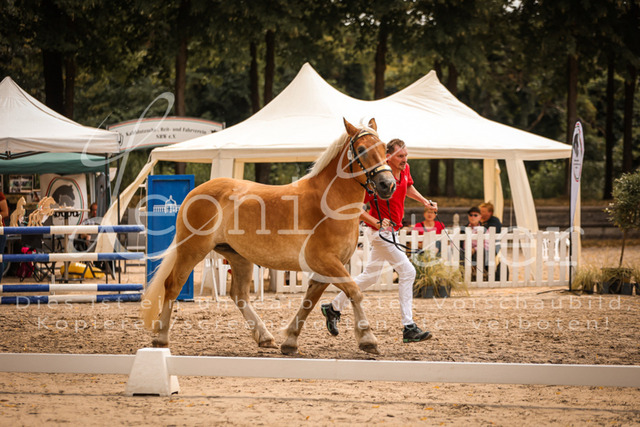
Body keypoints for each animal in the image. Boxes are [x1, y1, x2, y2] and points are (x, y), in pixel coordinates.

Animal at [141, 118, 396, 355]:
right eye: (361, 149)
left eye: (384, 147)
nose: (387, 184)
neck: (329, 201)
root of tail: (196, 191)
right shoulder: (325, 262)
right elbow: (355, 292)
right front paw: (368, 339)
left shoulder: (329, 266)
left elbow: (309, 301)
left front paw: (290, 341)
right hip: (192, 250)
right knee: (172, 285)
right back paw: (160, 338)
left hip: (238, 257)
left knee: (239, 295)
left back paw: (264, 337)